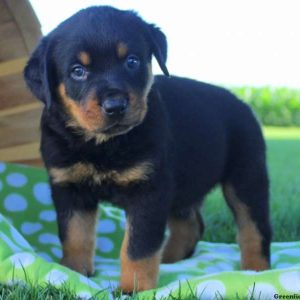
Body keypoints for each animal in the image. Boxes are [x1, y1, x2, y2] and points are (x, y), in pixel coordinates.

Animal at [24, 5, 272, 292]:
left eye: (132, 61)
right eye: (77, 71)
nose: (115, 106)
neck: (104, 145)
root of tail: (244, 104)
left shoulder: (149, 190)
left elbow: (137, 247)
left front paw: (134, 289)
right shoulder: (69, 187)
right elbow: (75, 235)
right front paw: (72, 274)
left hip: (246, 175)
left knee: (254, 227)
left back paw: (256, 271)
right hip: (184, 184)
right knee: (191, 225)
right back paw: (169, 259)